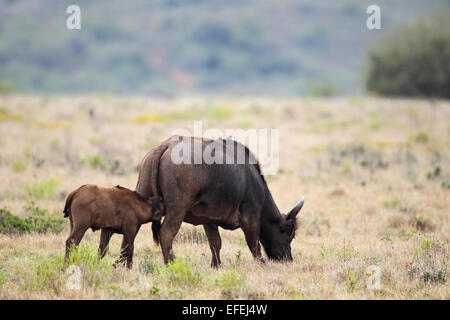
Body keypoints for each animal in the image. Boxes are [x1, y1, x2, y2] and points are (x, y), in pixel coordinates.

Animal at [136, 136, 306, 266]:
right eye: (289, 234)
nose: (288, 259)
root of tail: (166, 146)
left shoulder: (209, 220)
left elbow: (215, 243)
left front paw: (215, 265)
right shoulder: (251, 218)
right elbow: (254, 244)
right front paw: (261, 264)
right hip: (177, 209)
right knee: (166, 234)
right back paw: (171, 264)